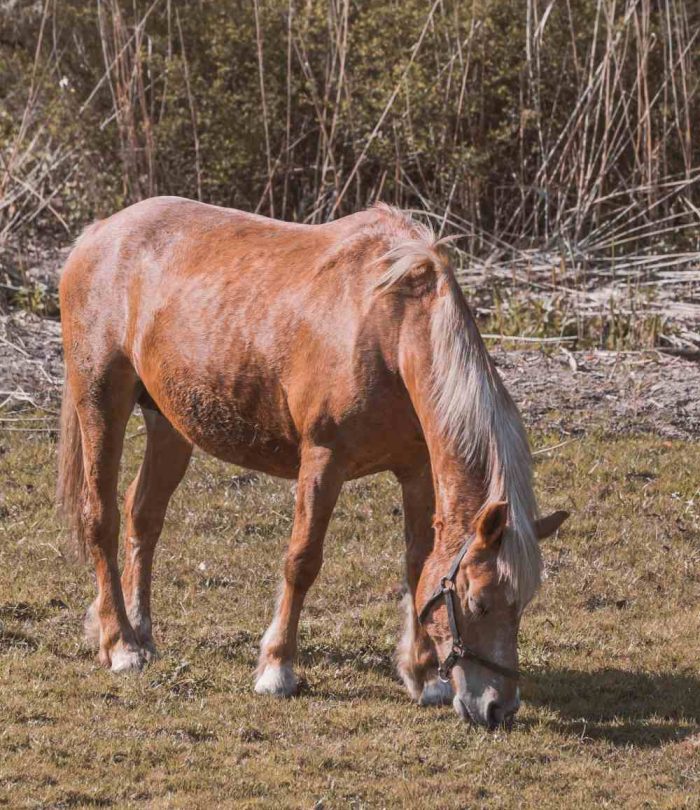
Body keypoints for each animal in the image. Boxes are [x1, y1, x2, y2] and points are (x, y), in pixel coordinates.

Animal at [56, 196, 568, 724]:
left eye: (521, 605)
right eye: (480, 602)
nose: (498, 708)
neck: (391, 331)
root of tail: (99, 233)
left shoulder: (417, 471)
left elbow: (417, 564)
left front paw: (424, 676)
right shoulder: (324, 461)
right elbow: (301, 561)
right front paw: (277, 668)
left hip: (169, 422)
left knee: (144, 516)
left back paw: (140, 632)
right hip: (101, 403)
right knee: (101, 518)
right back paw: (121, 644)